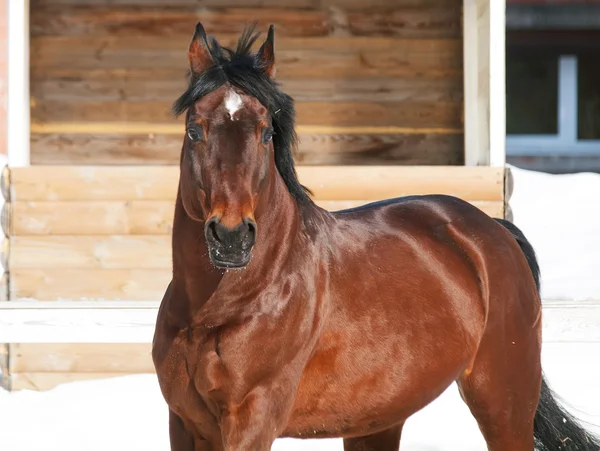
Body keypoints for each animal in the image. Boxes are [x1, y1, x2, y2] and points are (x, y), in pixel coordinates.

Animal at [154, 24, 600, 451]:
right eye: (194, 131)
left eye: (266, 133)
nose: (231, 237)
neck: (221, 308)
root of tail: (492, 230)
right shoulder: (185, 424)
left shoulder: (250, 420)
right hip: (378, 422)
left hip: (503, 406)